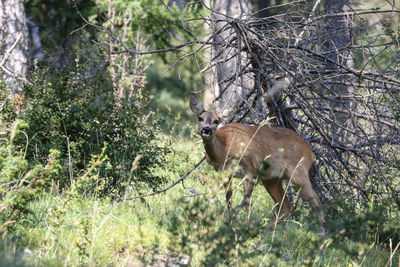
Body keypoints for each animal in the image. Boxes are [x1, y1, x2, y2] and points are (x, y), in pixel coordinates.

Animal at [190, 95, 324, 233]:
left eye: (216, 121)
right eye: (200, 118)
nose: (206, 129)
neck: (224, 148)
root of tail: (310, 151)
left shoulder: (249, 169)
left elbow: (247, 201)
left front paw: (246, 226)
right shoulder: (224, 172)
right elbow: (226, 196)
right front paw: (226, 223)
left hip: (298, 171)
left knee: (316, 203)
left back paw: (322, 235)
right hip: (271, 179)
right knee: (286, 206)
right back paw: (265, 230)